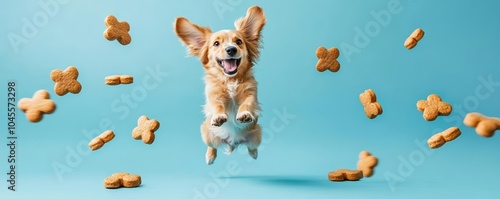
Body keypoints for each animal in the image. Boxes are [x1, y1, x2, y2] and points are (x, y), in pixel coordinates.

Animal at [174, 6, 266, 165]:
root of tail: (233, 143)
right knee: (212, 147)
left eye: (239, 42)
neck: (230, 80)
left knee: (251, 147)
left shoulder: (250, 93)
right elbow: (217, 105)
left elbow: (247, 103)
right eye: (216, 44)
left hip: (256, 136)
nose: (231, 49)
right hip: (207, 134)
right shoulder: (214, 95)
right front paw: (219, 116)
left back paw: (253, 154)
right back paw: (209, 157)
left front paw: (244, 113)